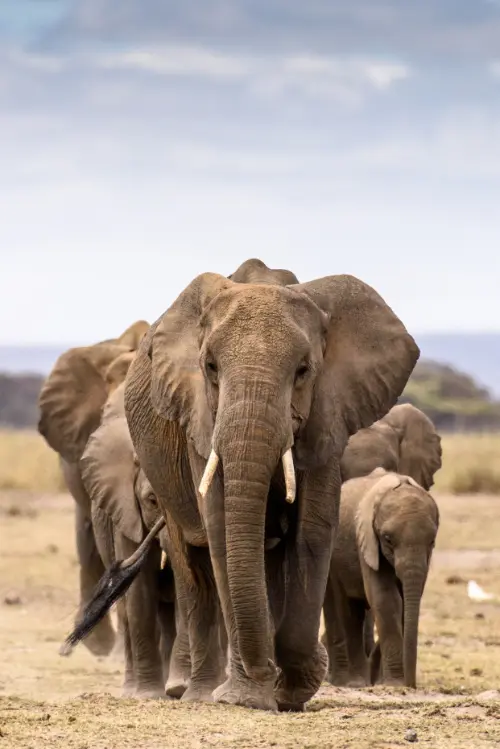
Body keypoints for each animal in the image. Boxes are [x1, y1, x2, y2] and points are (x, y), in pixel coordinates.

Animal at [61, 262, 419, 711]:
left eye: (304, 371)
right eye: (211, 367)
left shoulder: (328, 415)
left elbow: (312, 531)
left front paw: (294, 686)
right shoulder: (197, 416)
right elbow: (219, 529)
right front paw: (246, 698)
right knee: (195, 566)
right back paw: (195, 693)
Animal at [322, 403, 442, 682]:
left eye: (433, 541)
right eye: (387, 539)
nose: (412, 685)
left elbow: (404, 599)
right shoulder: (365, 537)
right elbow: (385, 599)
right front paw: (394, 682)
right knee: (342, 607)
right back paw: (349, 680)